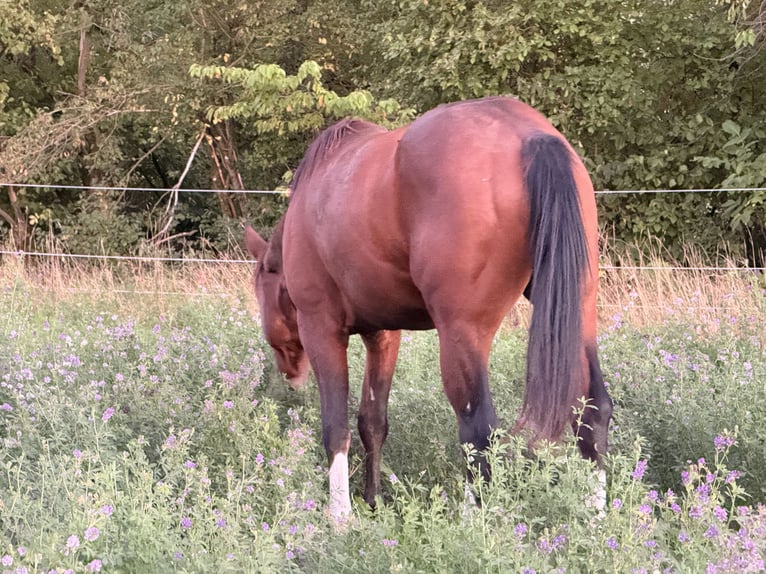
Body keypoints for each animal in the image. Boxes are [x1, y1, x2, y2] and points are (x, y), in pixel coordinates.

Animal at [244, 96, 612, 522]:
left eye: (262, 292)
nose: (288, 372)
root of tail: (529, 135)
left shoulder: (322, 329)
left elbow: (336, 428)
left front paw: (341, 518)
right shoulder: (383, 334)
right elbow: (372, 421)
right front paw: (372, 501)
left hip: (461, 334)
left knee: (478, 431)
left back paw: (472, 522)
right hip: (580, 316)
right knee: (593, 411)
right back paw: (596, 517)